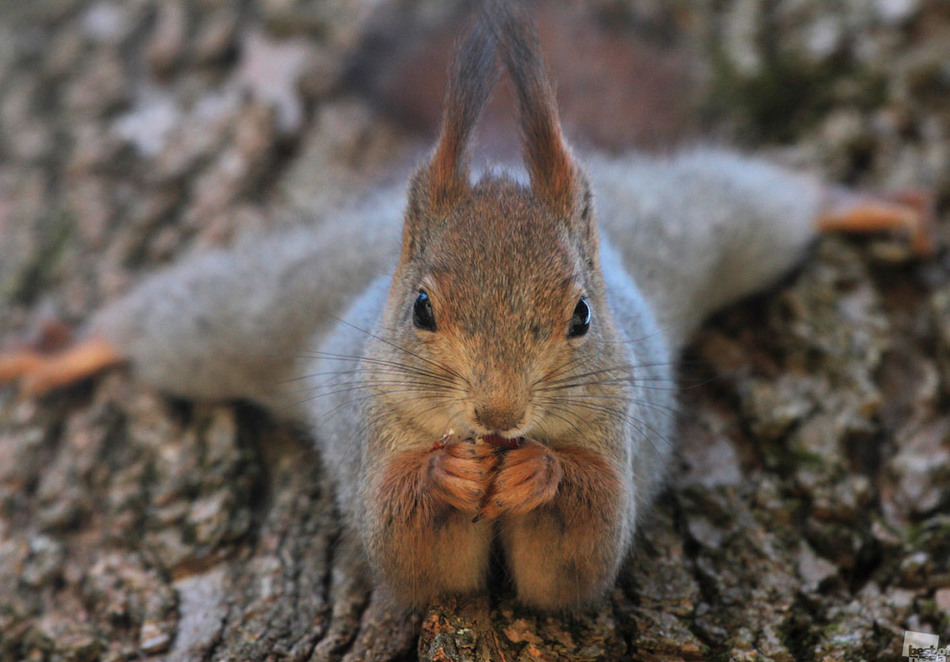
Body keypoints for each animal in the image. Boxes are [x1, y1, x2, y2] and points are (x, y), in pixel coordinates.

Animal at [0, 1, 932, 612]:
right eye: (420, 309)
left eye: (582, 316)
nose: (497, 414)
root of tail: (497, 162)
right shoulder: (370, 433)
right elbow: (410, 559)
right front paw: (445, 474)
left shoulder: (619, 435)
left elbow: (580, 560)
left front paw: (539, 472)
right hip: (257, 312)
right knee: (173, 319)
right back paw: (71, 348)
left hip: (696, 225)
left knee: (763, 201)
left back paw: (862, 206)